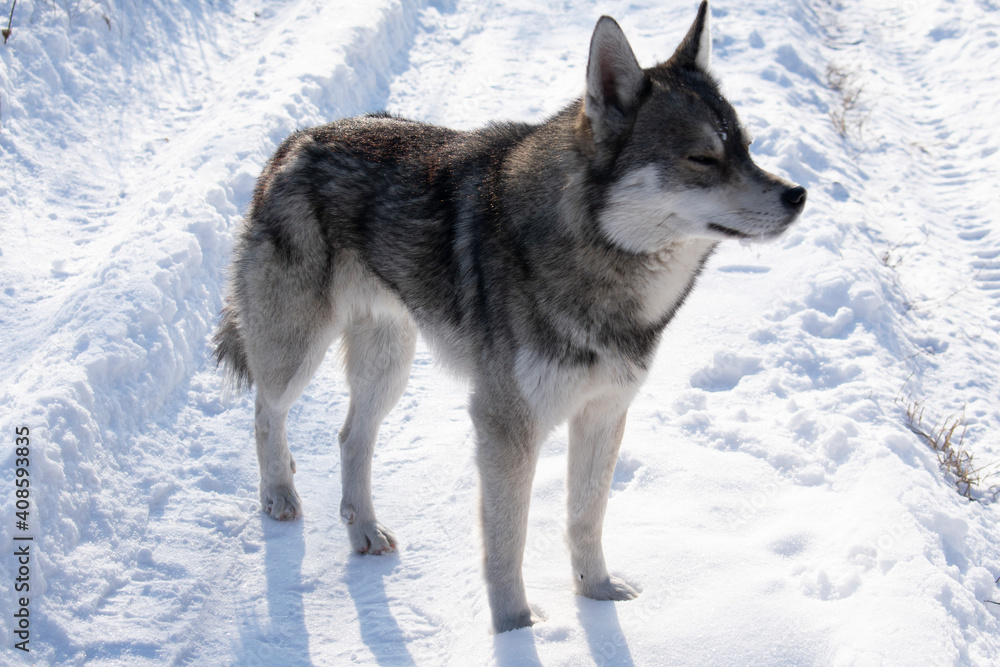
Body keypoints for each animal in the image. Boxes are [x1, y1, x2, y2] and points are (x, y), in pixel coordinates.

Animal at [213, 2, 804, 636]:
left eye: (747, 148)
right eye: (702, 158)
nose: (797, 195)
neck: (601, 264)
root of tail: (295, 142)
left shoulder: (603, 413)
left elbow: (585, 518)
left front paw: (598, 597)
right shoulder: (505, 427)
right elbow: (507, 542)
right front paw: (517, 631)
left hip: (389, 364)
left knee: (350, 436)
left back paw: (365, 531)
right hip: (298, 350)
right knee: (267, 410)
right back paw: (278, 495)